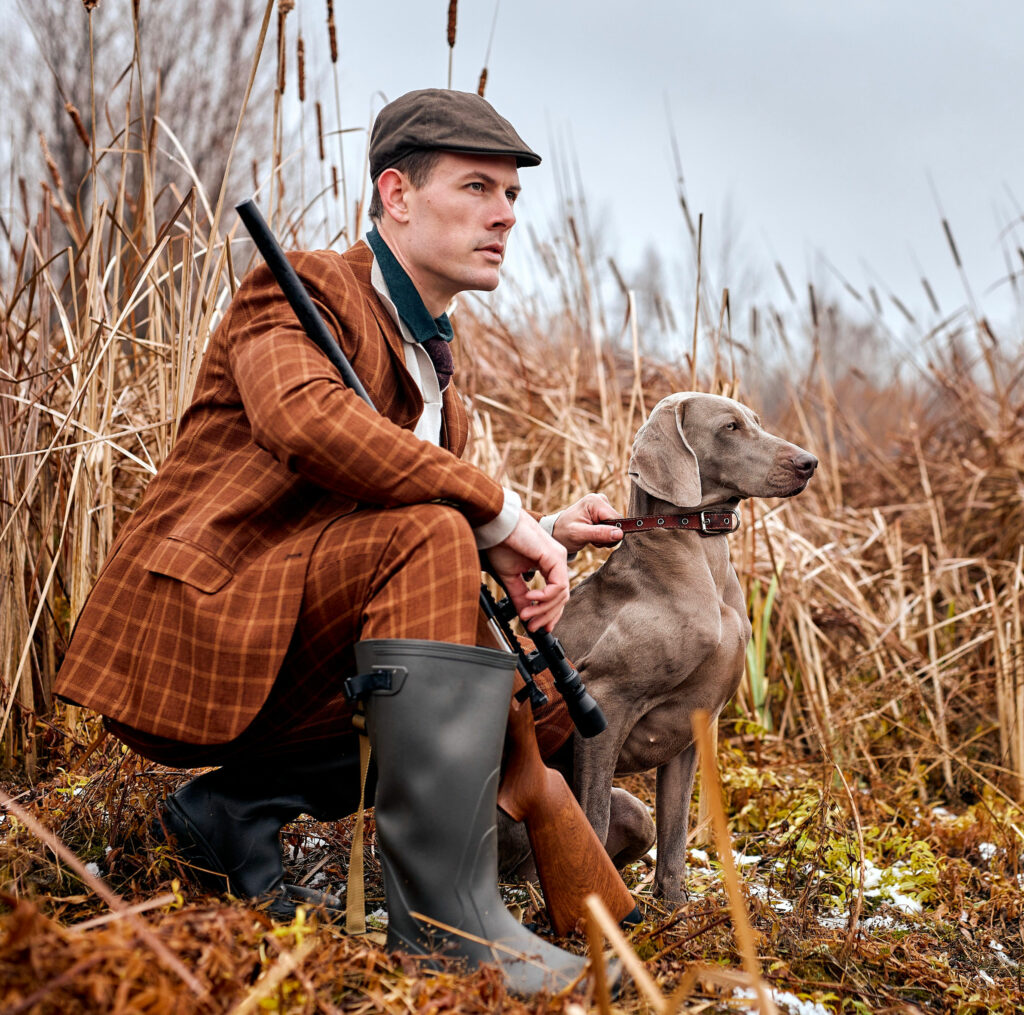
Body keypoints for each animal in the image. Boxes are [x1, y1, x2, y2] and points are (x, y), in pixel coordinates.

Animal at [536, 391, 815, 905]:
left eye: (756, 421)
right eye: (730, 427)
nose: (809, 462)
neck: (699, 552)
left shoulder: (692, 723)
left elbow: (675, 831)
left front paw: (675, 908)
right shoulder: (604, 703)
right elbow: (593, 816)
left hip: (636, 814)